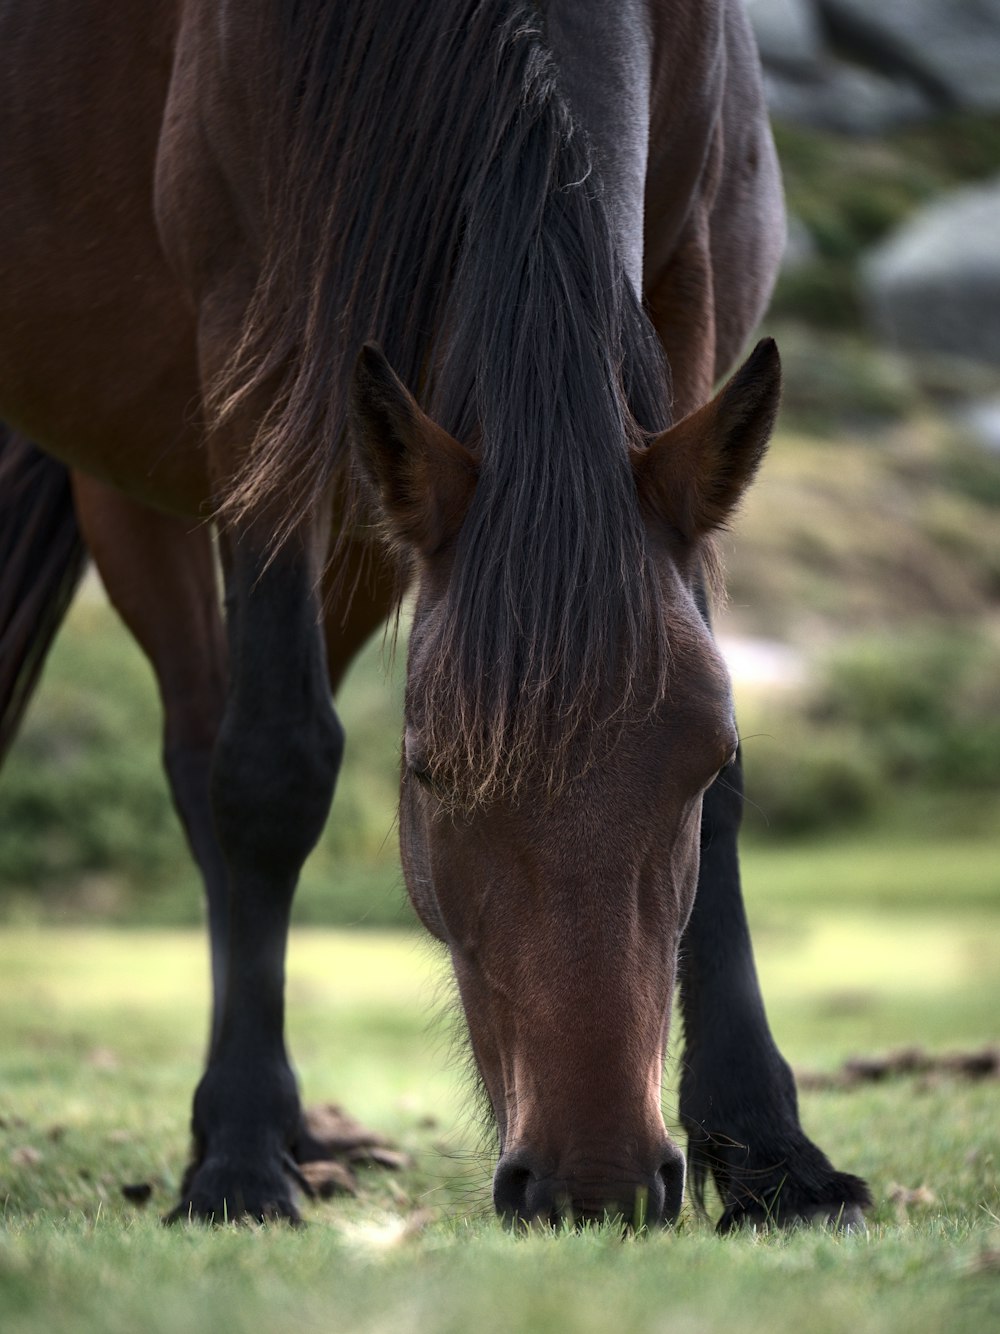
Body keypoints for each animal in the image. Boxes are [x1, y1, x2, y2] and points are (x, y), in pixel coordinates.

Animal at [0, 0, 869, 1227]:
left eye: (702, 757)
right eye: (426, 771)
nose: (594, 1184)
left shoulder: (697, 282)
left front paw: (770, 1154)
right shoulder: (253, 346)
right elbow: (271, 771)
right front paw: (238, 1164)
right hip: (147, 485)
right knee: (210, 752)